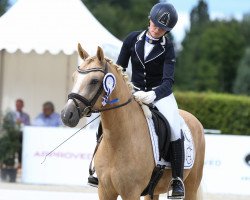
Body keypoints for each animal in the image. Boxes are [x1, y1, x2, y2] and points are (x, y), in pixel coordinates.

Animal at [61, 44, 205, 200]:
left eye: (94, 81)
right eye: (74, 78)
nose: (66, 115)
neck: (116, 142)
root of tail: (193, 118)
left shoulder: (131, 192)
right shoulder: (105, 191)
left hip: (191, 186)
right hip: (153, 191)